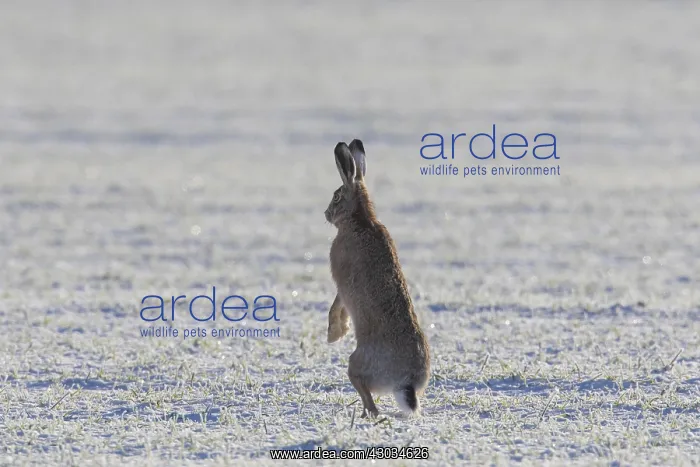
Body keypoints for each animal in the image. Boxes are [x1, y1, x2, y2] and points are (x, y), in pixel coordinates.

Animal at [324, 139, 431, 418]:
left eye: (336, 196)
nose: (326, 213)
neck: (360, 220)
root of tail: (406, 382)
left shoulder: (340, 279)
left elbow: (336, 305)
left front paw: (334, 334)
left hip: (356, 362)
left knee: (365, 392)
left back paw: (365, 414)